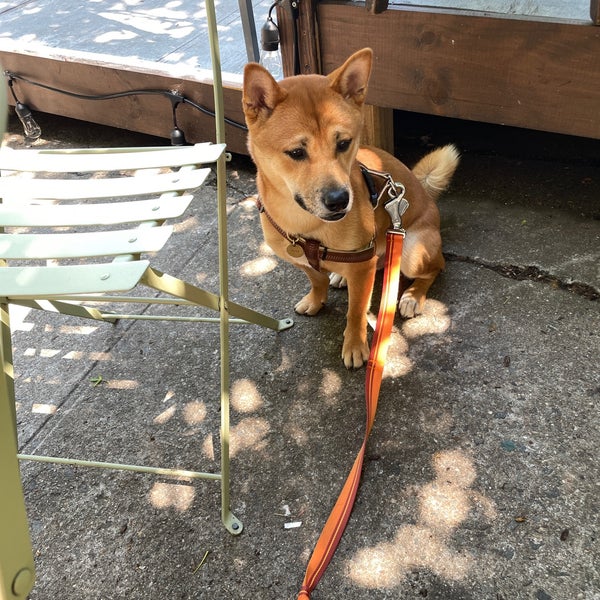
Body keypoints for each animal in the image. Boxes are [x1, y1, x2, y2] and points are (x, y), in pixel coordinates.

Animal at [241, 47, 458, 368]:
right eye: (296, 152)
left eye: (344, 143)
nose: (339, 199)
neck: (306, 225)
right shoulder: (301, 259)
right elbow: (316, 279)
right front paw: (316, 300)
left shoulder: (362, 269)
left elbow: (355, 311)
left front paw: (355, 344)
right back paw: (342, 275)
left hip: (411, 251)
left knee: (436, 267)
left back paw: (412, 295)